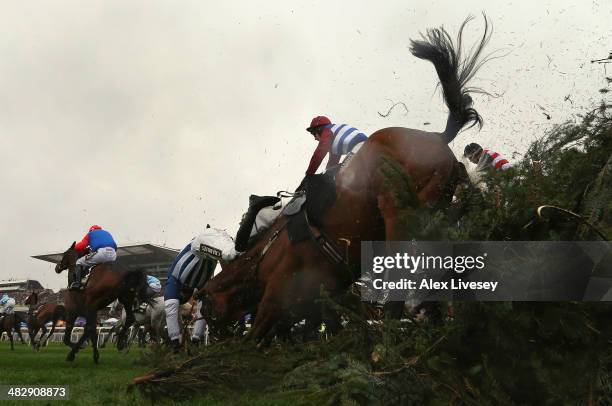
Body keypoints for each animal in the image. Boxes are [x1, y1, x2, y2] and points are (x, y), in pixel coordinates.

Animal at [203, 17, 490, 344]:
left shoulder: (277, 297)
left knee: (406, 272)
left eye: (207, 312)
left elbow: (256, 336)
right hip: (437, 208)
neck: (266, 253)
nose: (213, 338)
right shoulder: (327, 297)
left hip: (399, 212)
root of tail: (436, 137)